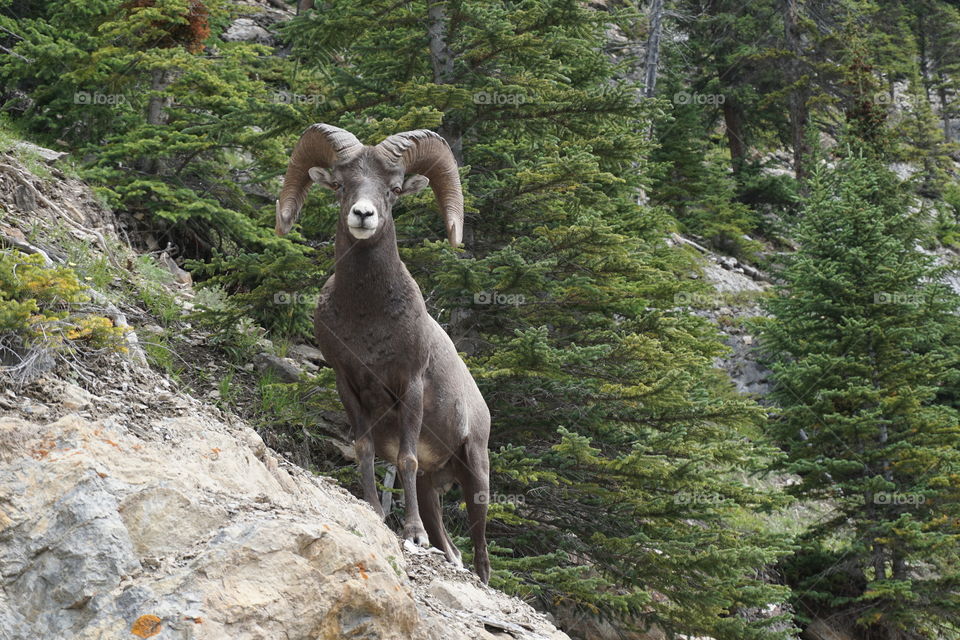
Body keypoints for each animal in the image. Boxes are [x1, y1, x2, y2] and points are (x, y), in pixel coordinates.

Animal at [275, 124, 491, 583]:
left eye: (393, 189)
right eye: (341, 185)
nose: (362, 215)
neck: (368, 318)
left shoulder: (409, 387)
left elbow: (405, 459)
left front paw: (411, 535)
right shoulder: (349, 386)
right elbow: (365, 450)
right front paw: (375, 511)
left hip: (476, 472)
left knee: (481, 550)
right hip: (432, 488)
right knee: (450, 544)